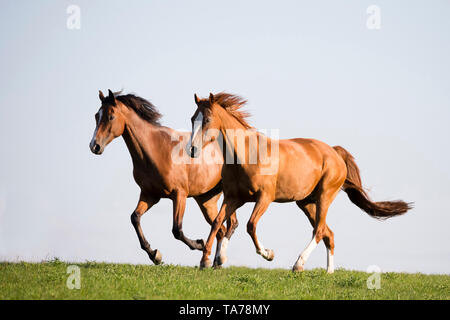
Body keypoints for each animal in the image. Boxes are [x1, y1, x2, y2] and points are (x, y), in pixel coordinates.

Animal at [89, 89, 241, 266]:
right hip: (207, 200)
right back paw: (214, 261)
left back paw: (217, 258)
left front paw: (199, 243)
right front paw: (154, 254)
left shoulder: (179, 195)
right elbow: (135, 218)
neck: (156, 150)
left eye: (111, 116)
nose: (94, 146)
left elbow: (177, 230)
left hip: (229, 195)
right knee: (221, 228)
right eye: (96, 115)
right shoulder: (150, 195)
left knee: (230, 224)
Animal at [186, 92, 412, 272]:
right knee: (328, 233)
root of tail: (335, 152)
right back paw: (329, 272)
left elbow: (250, 225)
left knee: (319, 231)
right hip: (306, 203)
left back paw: (299, 264)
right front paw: (208, 261)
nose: (192, 150)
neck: (246, 156)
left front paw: (269, 254)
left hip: (324, 197)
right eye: (192, 118)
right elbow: (219, 223)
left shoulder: (264, 198)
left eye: (207, 119)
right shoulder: (234, 198)